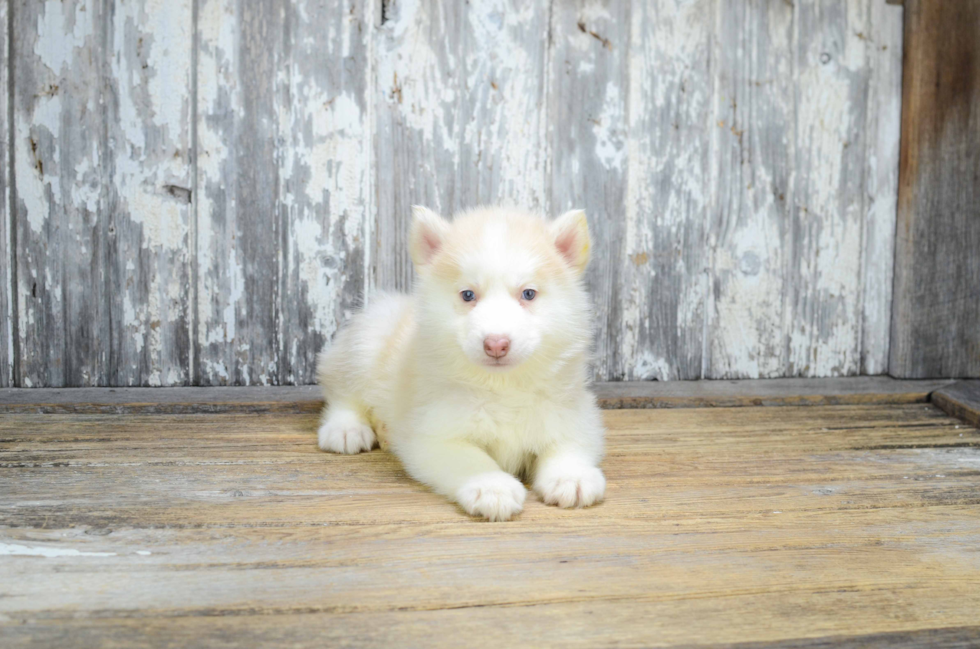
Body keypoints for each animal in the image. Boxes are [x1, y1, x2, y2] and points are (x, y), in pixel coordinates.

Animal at [314, 205, 604, 520]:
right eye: (468, 295)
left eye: (528, 294)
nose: (496, 344)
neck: (503, 387)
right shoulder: (436, 435)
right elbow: (473, 460)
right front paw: (492, 487)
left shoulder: (572, 413)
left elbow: (568, 445)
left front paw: (571, 476)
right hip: (366, 341)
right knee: (342, 392)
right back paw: (346, 429)